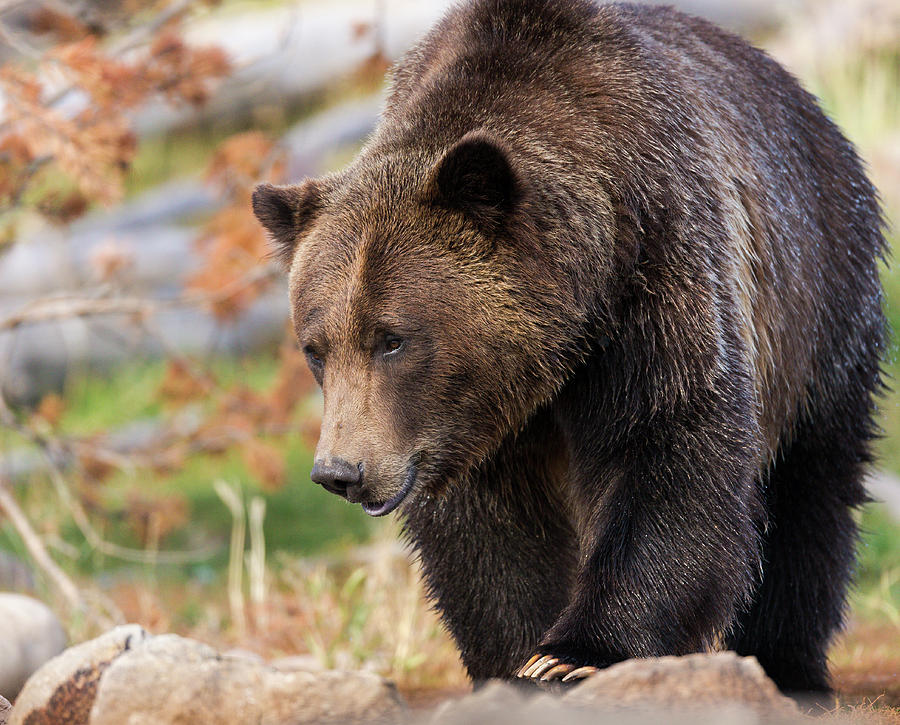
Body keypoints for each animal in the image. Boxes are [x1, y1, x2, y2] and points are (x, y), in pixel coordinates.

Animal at [251, 0, 886, 694]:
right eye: (316, 348)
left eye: (392, 339)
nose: (341, 471)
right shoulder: (466, 430)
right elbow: (488, 534)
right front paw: (519, 658)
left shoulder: (659, 273)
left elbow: (669, 446)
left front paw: (576, 653)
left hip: (820, 294)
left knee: (810, 487)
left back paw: (788, 662)